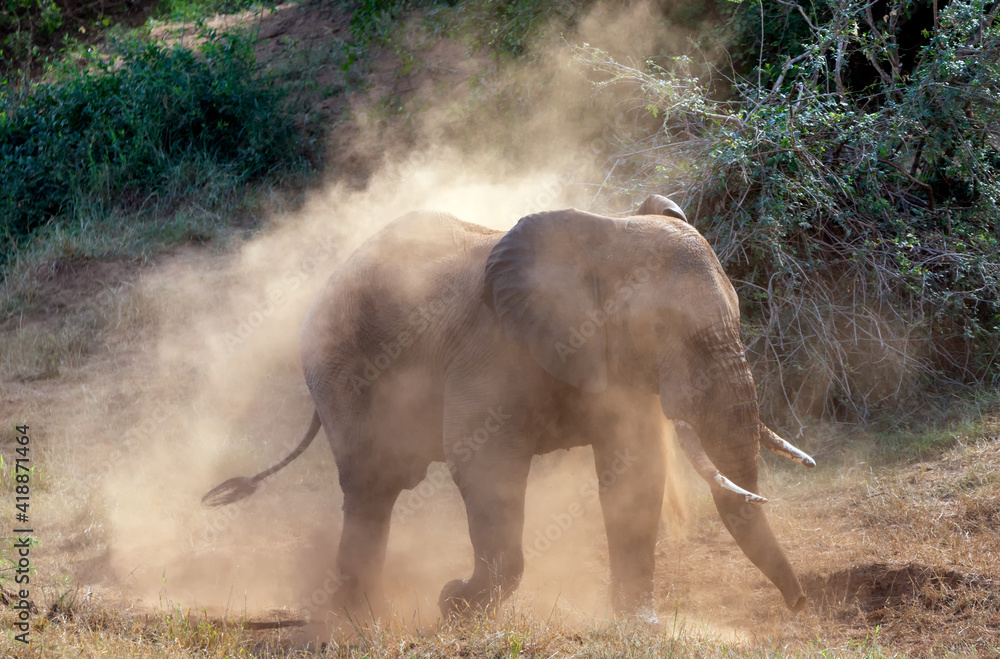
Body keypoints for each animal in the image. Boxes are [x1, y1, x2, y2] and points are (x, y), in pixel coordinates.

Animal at [202, 193, 816, 618]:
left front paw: (638, 623)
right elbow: (484, 467)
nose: (799, 604)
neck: (602, 234)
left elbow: (635, 472)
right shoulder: (492, 352)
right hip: (337, 362)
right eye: (664, 328)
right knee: (372, 482)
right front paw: (454, 605)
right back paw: (361, 616)